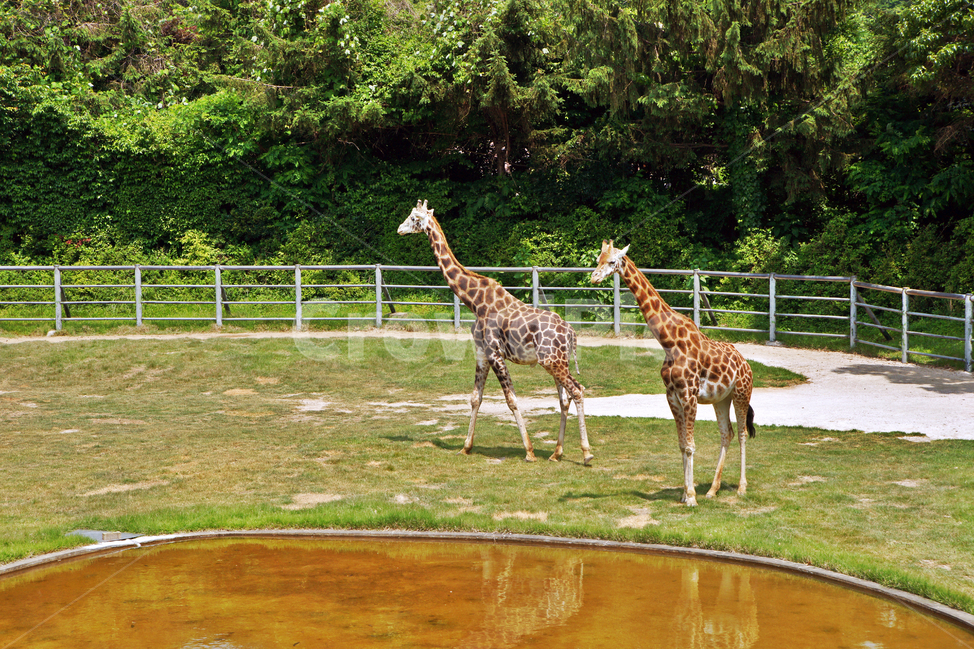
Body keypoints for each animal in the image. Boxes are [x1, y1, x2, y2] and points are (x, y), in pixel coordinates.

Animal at [398, 200, 593, 464]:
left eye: (413, 218)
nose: (399, 229)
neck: (474, 301)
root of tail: (570, 332)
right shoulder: (481, 352)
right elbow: (475, 398)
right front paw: (465, 447)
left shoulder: (494, 352)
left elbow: (511, 400)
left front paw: (529, 452)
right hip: (557, 362)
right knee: (565, 398)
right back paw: (556, 453)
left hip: (552, 361)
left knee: (577, 391)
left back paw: (586, 453)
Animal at [591, 240, 755, 506]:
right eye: (598, 259)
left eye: (612, 261)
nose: (594, 277)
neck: (669, 342)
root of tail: (747, 365)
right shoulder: (672, 396)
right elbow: (681, 445)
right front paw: (685, 493)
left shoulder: (689, 395)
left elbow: (690, 445)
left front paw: (691, 497)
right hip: (721, 399)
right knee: (726, 433)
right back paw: (712, 489)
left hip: (742, 394)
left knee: (741, 433)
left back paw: (741, 488)